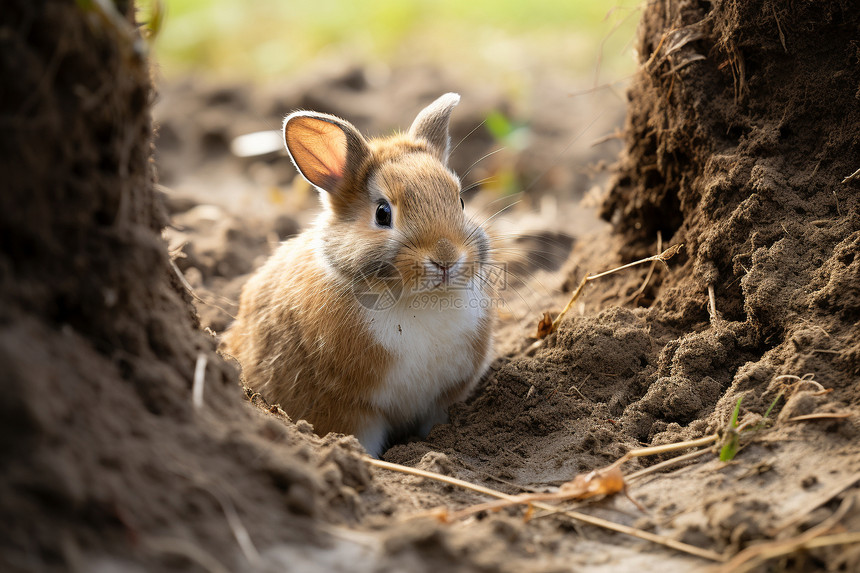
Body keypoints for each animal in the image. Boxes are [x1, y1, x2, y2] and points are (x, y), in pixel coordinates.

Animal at [218, 94, 494, 456]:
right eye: (382, 213)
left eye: (460, 202)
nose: (446, 260)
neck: (417, 299)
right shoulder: (351, 411)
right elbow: (361, 439)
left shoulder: (439, 403)